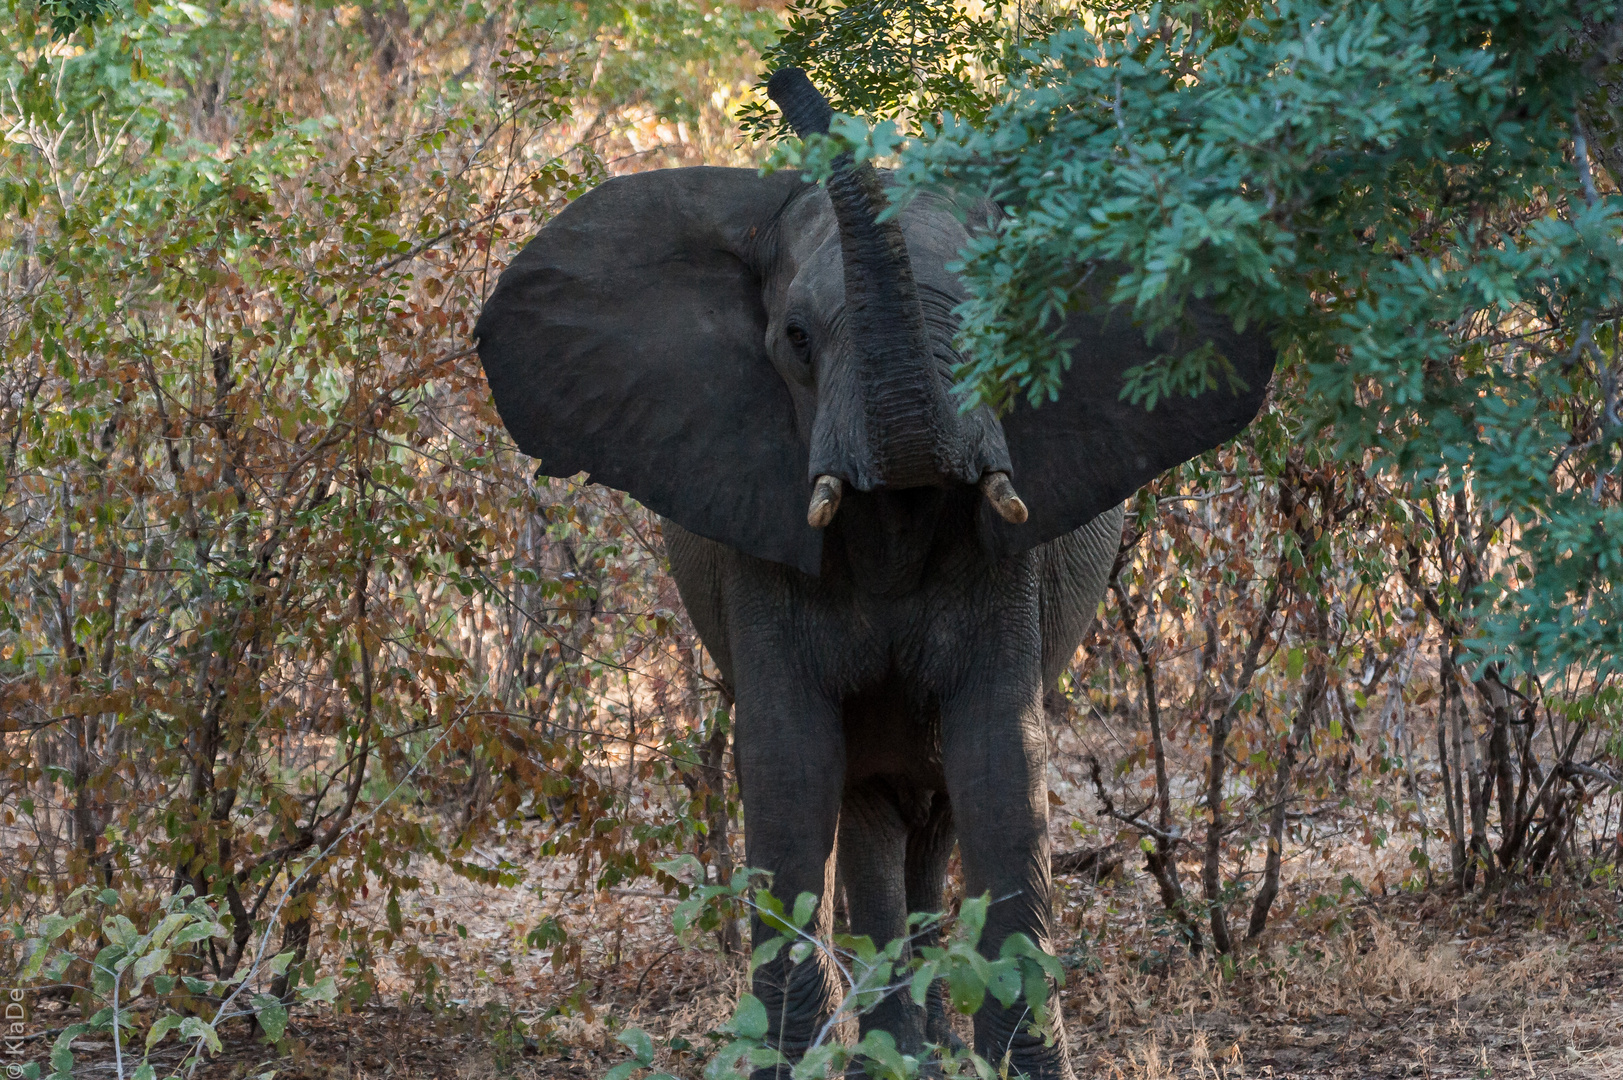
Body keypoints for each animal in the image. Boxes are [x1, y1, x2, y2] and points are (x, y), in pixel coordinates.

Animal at [473, 71, 1272, 1071]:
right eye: (796, 339)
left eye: (1006, 319)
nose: (784, 78)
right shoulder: (759, 541)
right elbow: (788, 767)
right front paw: (790, 1063)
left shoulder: (1008, 566)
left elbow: (1000, 762)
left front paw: (1020, 1067)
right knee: (866, 814)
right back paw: (892, 1051)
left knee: (930, 818)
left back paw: (932, 1051)